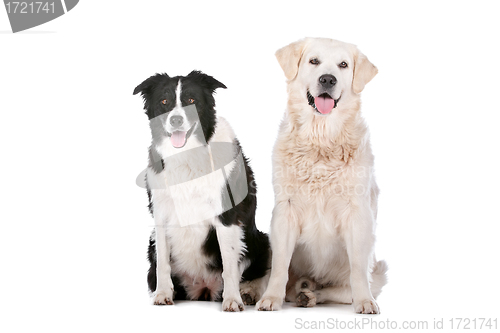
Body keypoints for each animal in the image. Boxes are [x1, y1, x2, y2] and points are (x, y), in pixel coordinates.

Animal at [134, 70, 270, 312]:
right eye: (164, 102)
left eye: (191, 100)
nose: (176, 120)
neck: (187, 154)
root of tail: (204, 289)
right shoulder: (161, 214)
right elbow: (162, 263)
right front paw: (162, 294)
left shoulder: (226, 215)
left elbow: (229, 264)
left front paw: (232, 299)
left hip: (262, 240)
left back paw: (248, 293)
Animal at [256, 37, 388, 312]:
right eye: (313, 61)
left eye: (343, 65)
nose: (328, 79)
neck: (321, 139)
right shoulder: (285, 211)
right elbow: (280, 267)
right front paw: (271, 298)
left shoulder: (357, 214)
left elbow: (358, 271)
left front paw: (365, 302)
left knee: (335, 290)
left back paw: (309, 293)